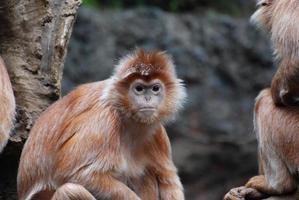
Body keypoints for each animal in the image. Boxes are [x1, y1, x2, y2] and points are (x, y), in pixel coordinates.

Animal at [17, 48, 186, 200]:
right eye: (139, 88)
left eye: (155, 88)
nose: (147, 99)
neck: (127, 117)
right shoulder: (104, 121)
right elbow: (77, 174)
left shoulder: (157, 131)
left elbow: (168, 178)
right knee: (71, 190)